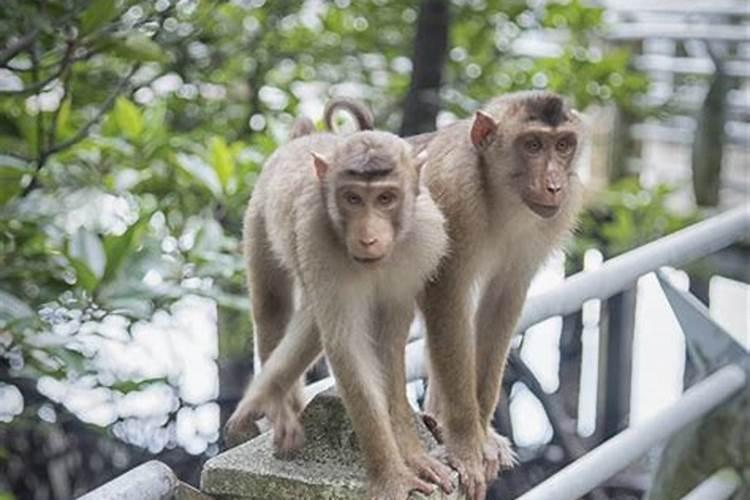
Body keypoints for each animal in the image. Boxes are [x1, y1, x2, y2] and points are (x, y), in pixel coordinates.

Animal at [225, 126, 458, 500]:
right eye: (352, 198)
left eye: (385, 198)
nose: (368, 238)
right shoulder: (316, 239)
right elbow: (347, 346)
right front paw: (392, 475)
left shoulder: (423, 243)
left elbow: (389, 345)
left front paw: (412, 455)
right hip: (258, 217)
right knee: (273, 306)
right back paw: (276, 405)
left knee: (310, 319)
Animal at [406, 91, 588, 500]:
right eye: (532, 145)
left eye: (563, 145)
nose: (554, 184)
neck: (500, 194)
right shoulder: (452, 191)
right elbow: (446, 295)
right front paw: (465, 444)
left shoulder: (559, 213)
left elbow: (503, 301)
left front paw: (483, 435)